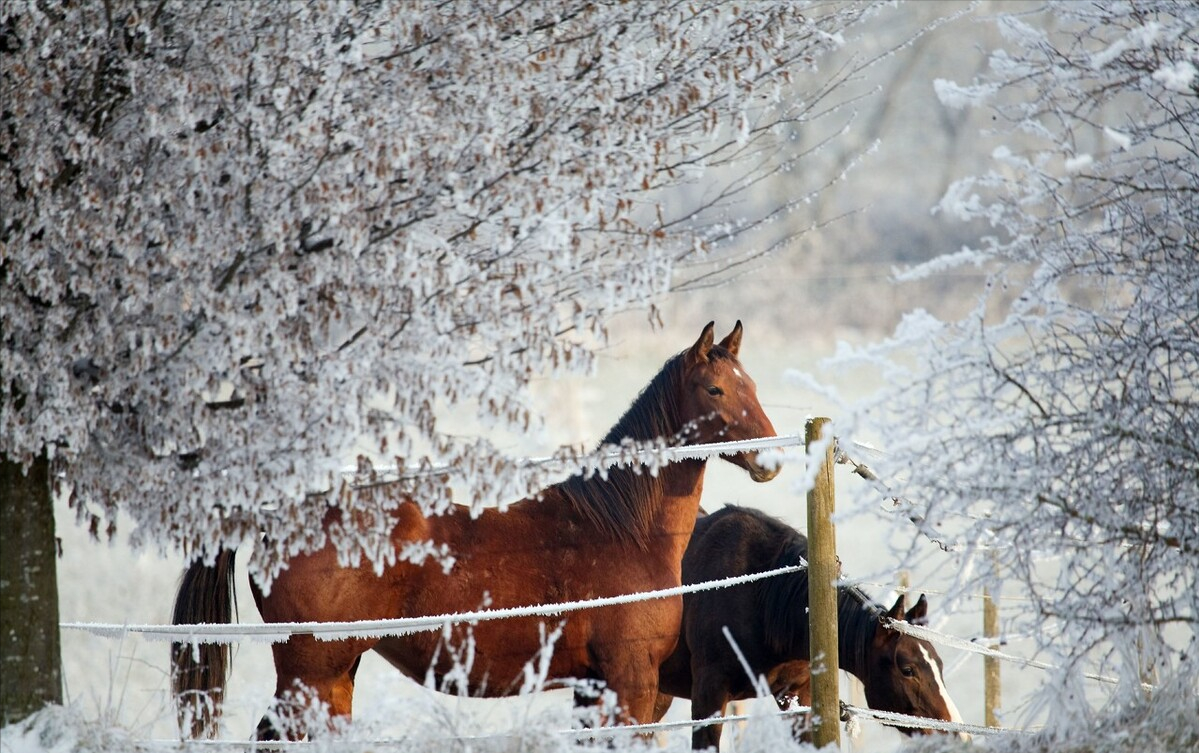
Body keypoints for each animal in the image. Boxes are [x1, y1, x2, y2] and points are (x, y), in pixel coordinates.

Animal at [173, 321, 781, 738]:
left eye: (751, 384)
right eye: (715, 390)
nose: (770, 461)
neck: (620, 527)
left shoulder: (595, 690)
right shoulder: (629, 685)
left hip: (337, 677)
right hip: (312, 678)